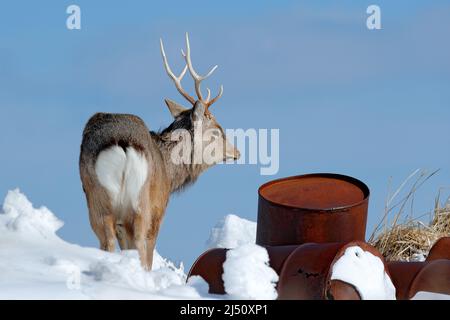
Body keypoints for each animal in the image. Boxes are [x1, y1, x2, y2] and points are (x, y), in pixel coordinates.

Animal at [78, 33, 239, 268]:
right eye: (217, 130)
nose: (237, 152)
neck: (170, 174)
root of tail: (121, 142)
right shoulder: (159, 208)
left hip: (97, 198)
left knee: (106, 241)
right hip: (141, 203)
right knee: (140, 245)